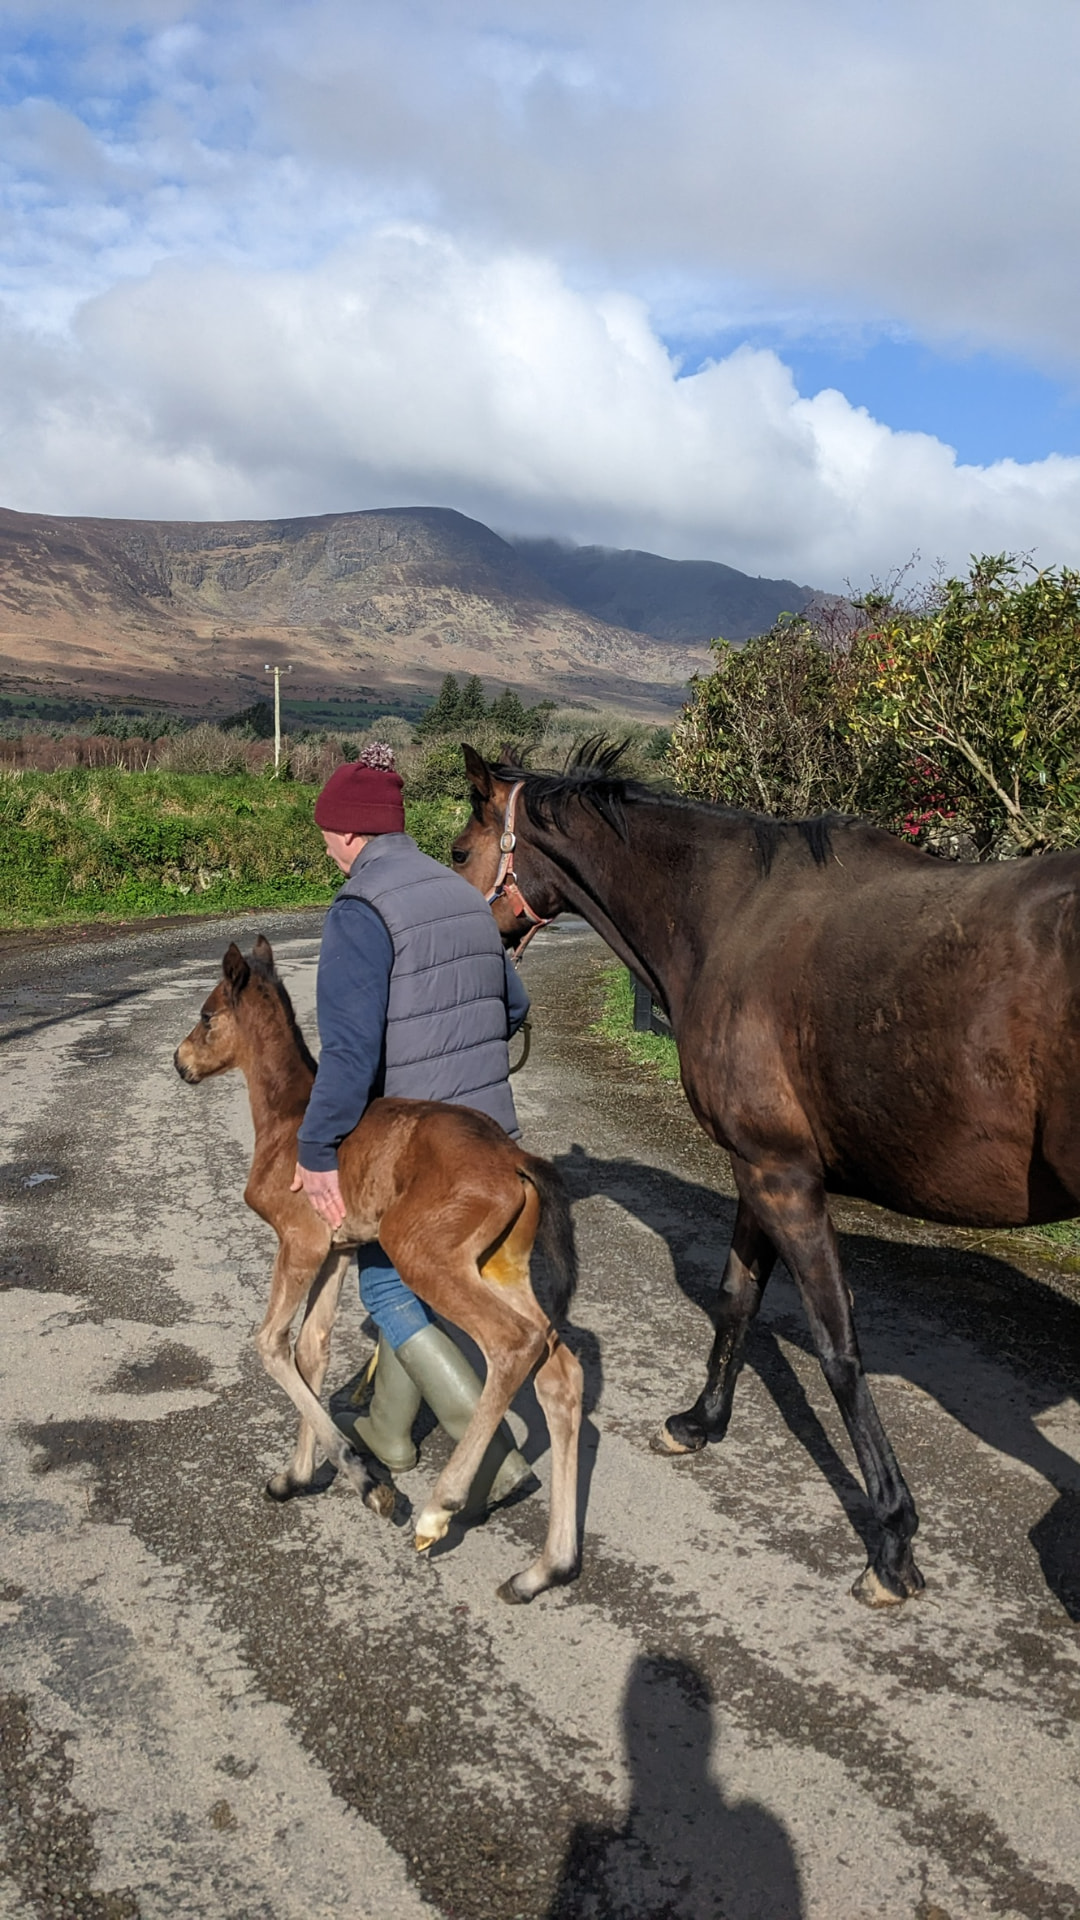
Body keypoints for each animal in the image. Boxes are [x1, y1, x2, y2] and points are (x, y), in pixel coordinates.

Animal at [173, 935, 583, 1604]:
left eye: (208, 1016)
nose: (179, 1062)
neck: (288, 1118)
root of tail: (514, 1159)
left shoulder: (301, 1241)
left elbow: (270, 1342)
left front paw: (369, 1483)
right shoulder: (337, 1249)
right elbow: (311, 1347)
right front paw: (295, 1477)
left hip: (421, 1252)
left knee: (515, 1343)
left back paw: (440, 1508)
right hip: (499, 1266)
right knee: (559, 1369)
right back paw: (543, 1570)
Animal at [451, 743, 1080, 1608]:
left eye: (457, 852)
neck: (731, 914)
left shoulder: (782, 1176)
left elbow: (837, 1349)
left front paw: (893, 1542)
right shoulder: (757, 1170)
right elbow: (737, 1299)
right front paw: (699, 1421)